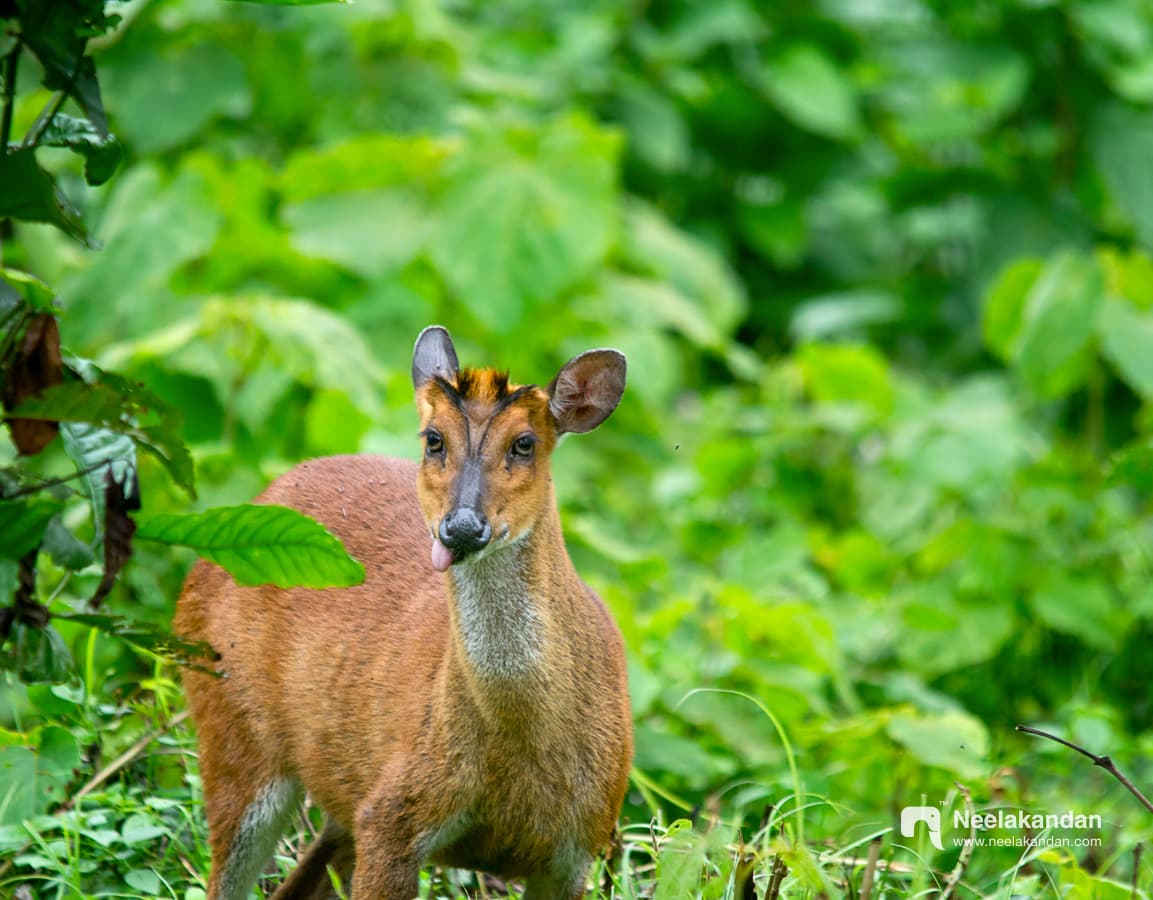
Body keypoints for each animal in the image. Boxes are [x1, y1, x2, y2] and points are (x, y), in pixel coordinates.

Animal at [174, 326, 634, 900]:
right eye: (433, 439)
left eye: (525, 443)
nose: (462, 528)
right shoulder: (392, 813)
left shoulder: (578, 848)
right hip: (231, 721)